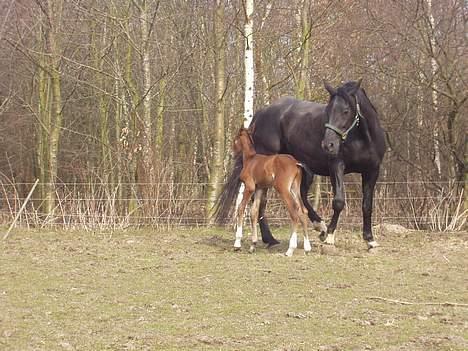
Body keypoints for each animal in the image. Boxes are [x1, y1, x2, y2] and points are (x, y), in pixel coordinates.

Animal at [231, 127, 310, 256]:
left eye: (235, 139)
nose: (232, 153)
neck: (250, 159)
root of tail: (295, 162)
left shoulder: (249, 187)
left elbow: (241, 208)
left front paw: (237, 244)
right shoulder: (259, 188)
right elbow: (254, 212)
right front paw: (253, 246)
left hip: (283, 188)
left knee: (294, 211)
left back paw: (290, 250)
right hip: (294, 189)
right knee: (303, 211)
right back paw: (307, 248)